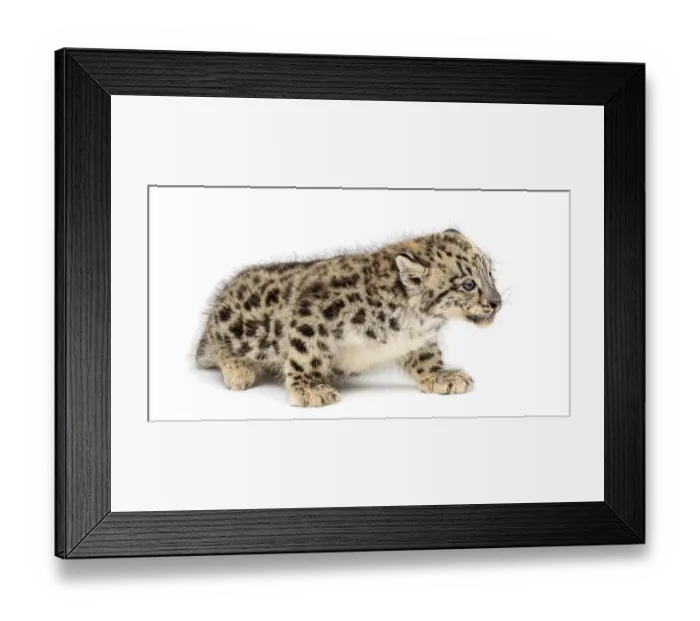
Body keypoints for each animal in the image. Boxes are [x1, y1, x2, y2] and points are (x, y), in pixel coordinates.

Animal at [196, 229, 502, 407]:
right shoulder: (313, 311)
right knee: (217, 345)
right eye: (468, 284)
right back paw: (238, 369)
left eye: (490, 273)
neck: (415, 320)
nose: (497, 302)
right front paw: (309, 390)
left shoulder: (419, 339)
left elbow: (426, 356)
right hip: (236, 331)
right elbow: (306, 354)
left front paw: (441, 376)